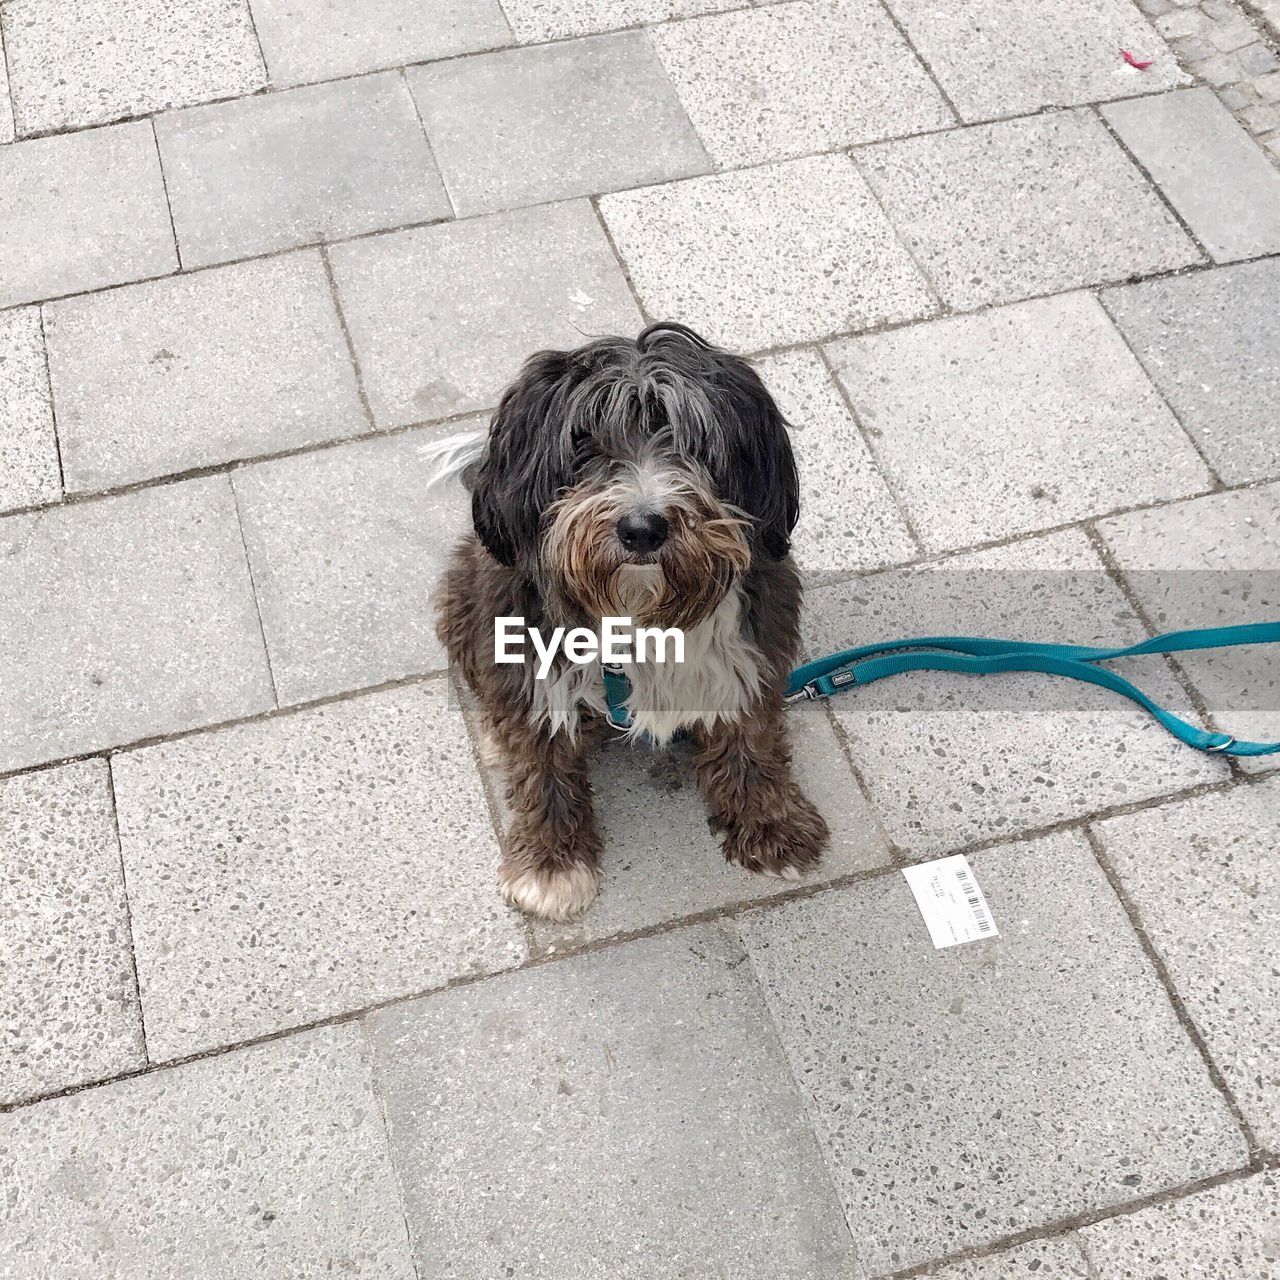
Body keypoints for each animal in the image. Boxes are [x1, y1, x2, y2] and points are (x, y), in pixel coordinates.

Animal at [430, 320, 829, 921]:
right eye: (584, 441)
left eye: (694, 443)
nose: (642, 528)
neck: (639, 613)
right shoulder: (527, 661)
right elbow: (540, 763)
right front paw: (550, 864)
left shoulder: (752, 652)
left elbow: (751, 736)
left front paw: (770, 822)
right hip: (462, 598)